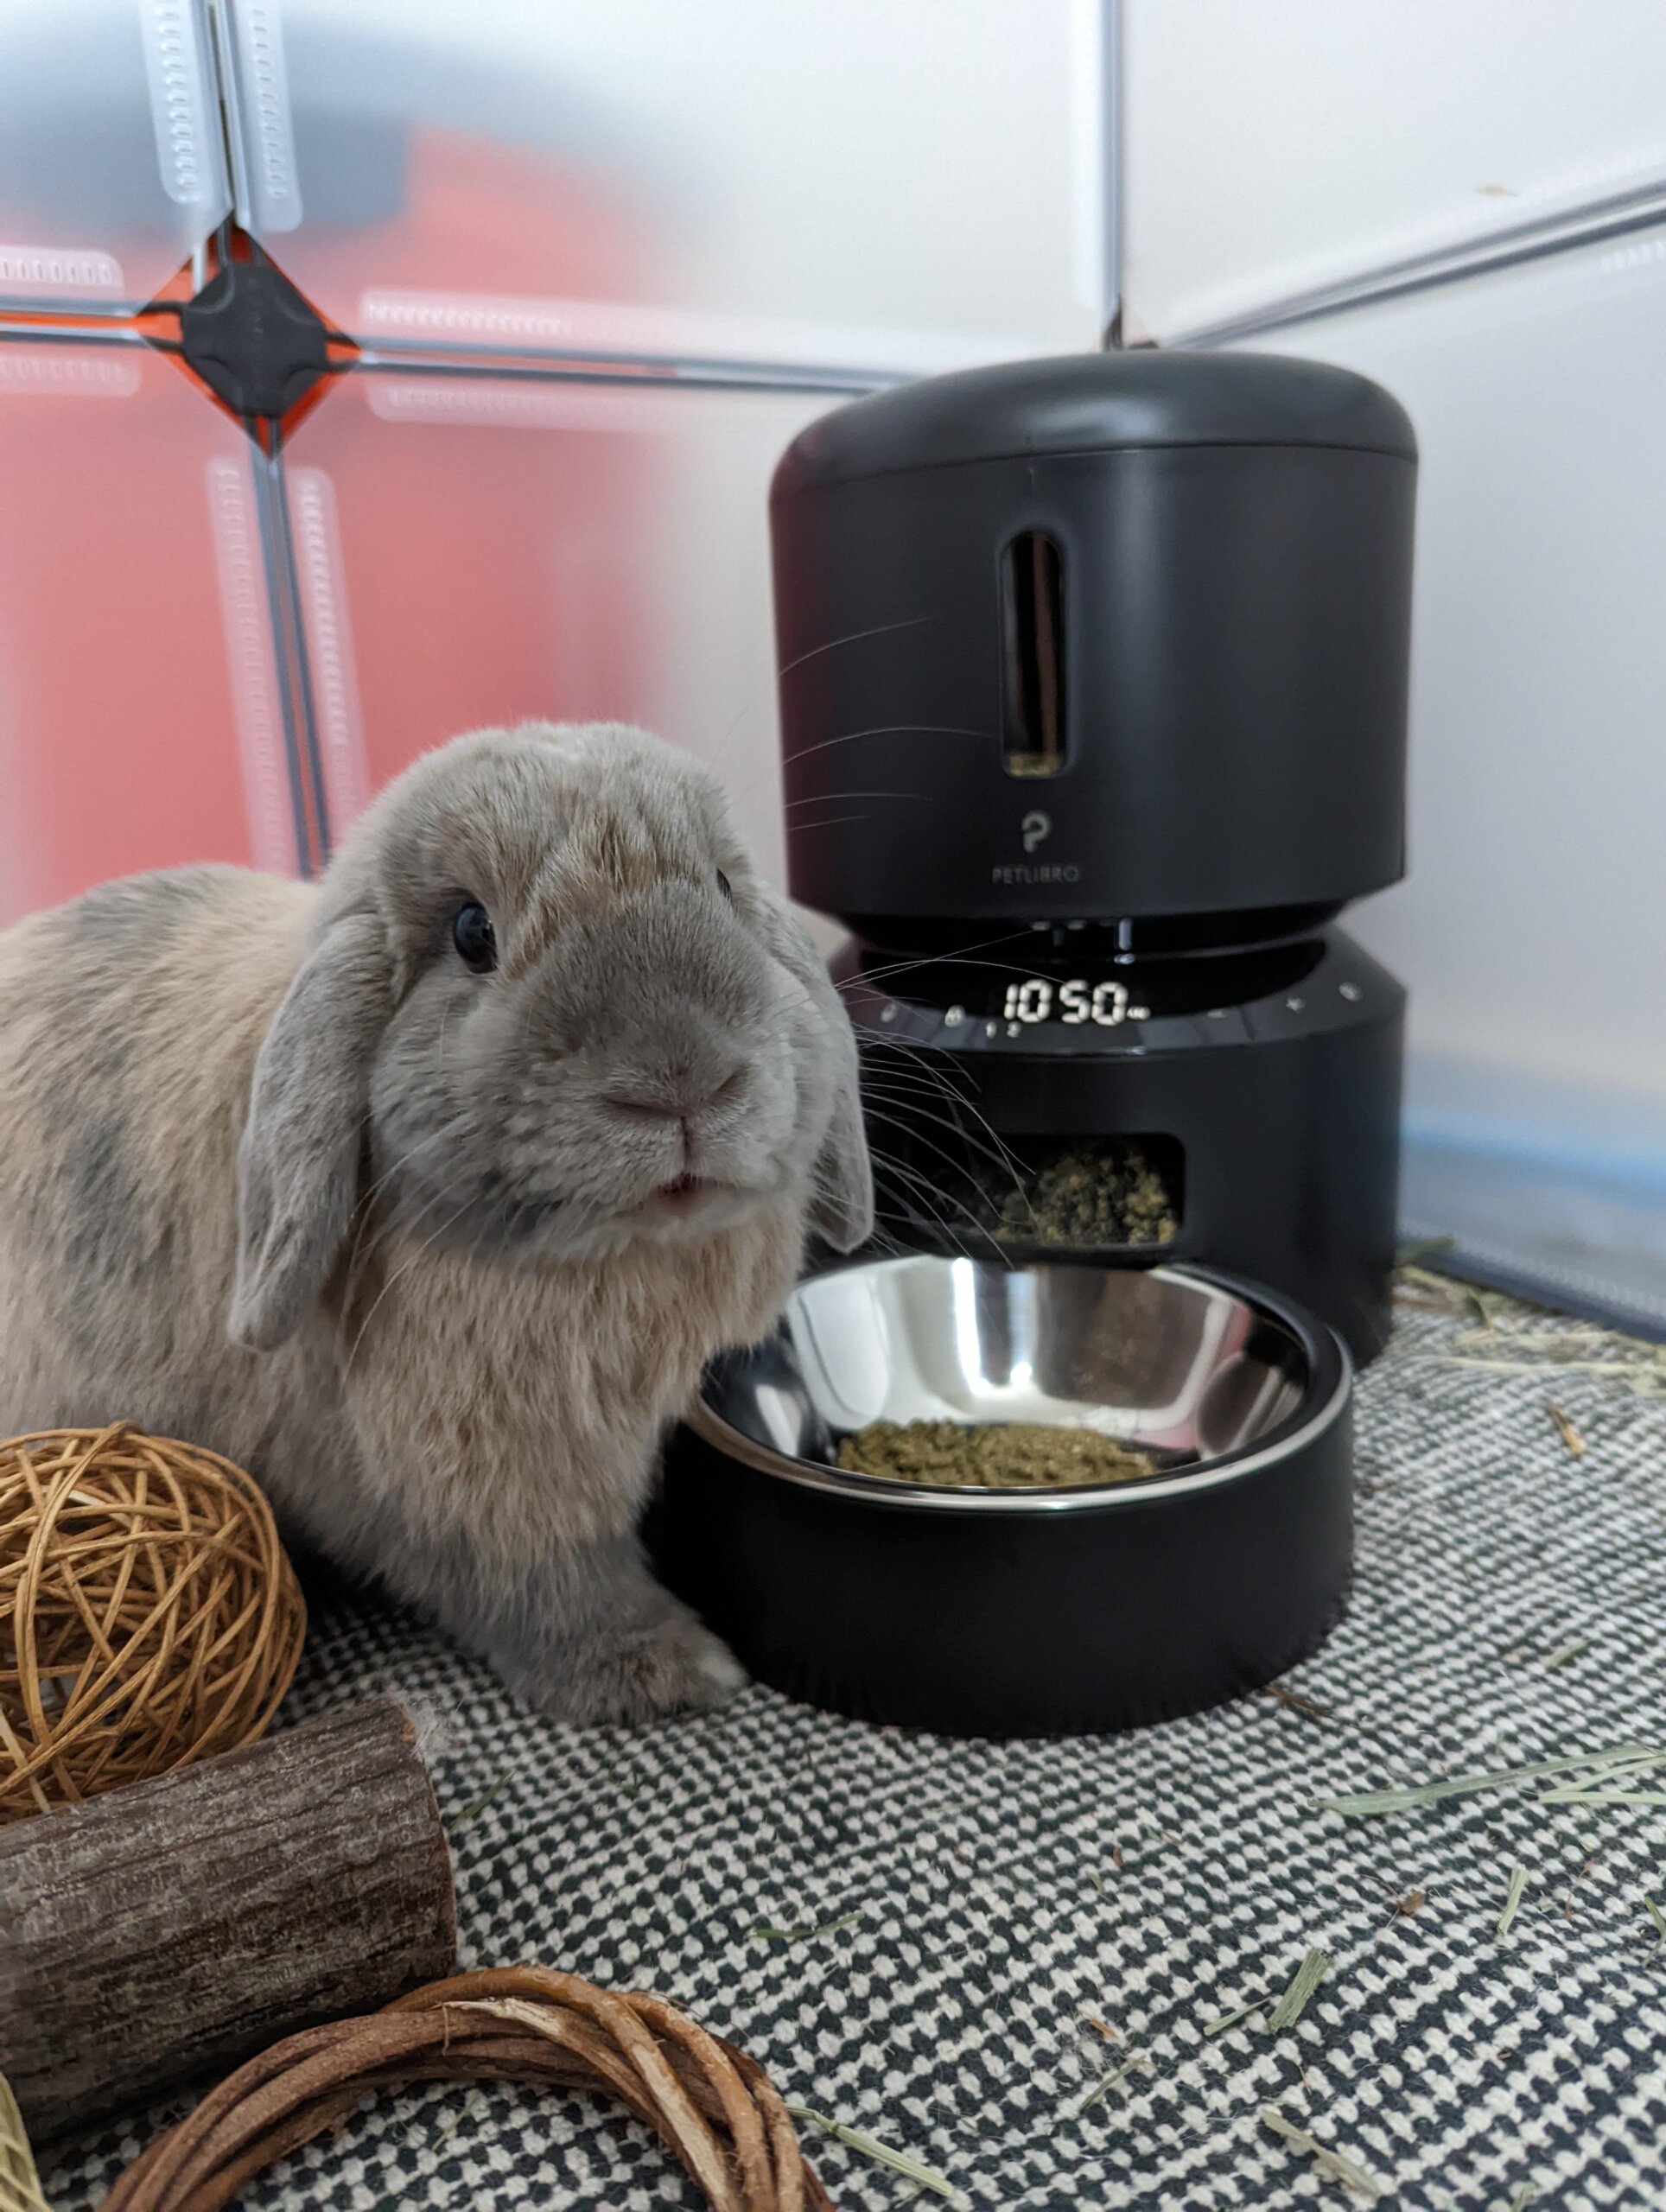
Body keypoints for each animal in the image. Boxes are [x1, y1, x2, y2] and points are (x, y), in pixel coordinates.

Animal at [0, 721, 872, 1722]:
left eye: (726, 887)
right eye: (470, 932)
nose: (683, 1079)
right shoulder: (479, 1493)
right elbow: (549, 1582)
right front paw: (664, 1671)